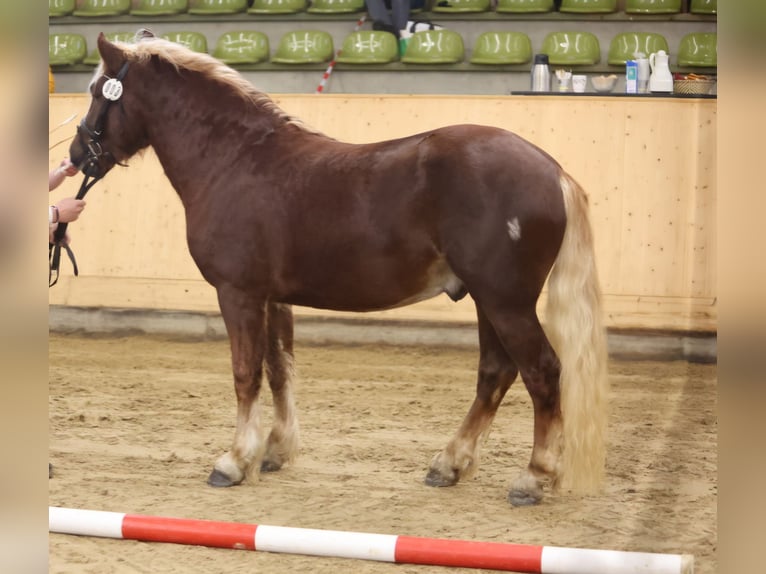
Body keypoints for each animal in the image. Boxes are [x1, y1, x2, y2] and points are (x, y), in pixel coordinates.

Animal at [68, 30, 608, 506]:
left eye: (98, 92)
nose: (77, 154)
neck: (235, 160)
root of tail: (552, 170)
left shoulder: (238, 293)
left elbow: (246, 373)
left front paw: (234, 461)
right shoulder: (272, 298)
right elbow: (279, 368)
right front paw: (275, 452)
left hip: (505, 301)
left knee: (542, 372)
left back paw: (533, 478)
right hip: (487, 300)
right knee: (496, 372)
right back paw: (448, 464)